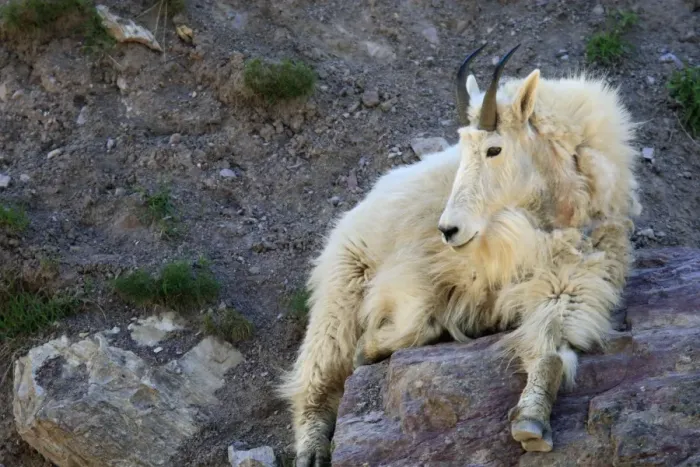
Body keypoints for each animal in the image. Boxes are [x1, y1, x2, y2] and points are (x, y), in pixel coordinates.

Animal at [279, 44, 642, 466]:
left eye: (493, 148)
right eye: (464, 150)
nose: (448, 229)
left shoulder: (568, 281)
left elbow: (552, 345)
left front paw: (531, 422)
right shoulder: (418, 274)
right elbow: (414, 321)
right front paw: (366, 349)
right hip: (345, 279)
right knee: (318, 369)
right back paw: (313, 448)